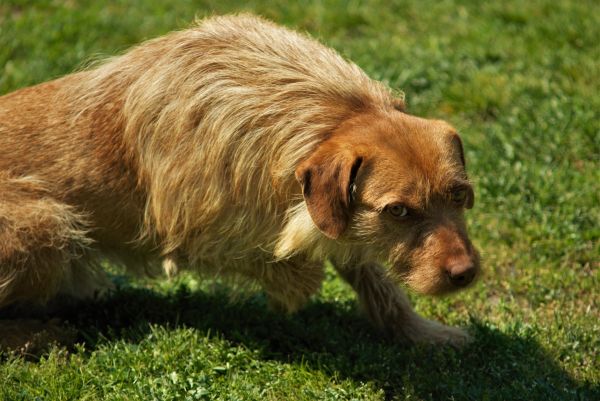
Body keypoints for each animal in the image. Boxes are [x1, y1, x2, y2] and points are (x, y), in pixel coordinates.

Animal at [0, 12, 478, 344]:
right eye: (398, 211)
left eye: (459, 196)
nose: (466, 273)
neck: (322, 116)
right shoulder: (192, 232)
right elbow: (287, 259)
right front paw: (296, 277)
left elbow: (374, 278)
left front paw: (421, 332)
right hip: (45, 226)